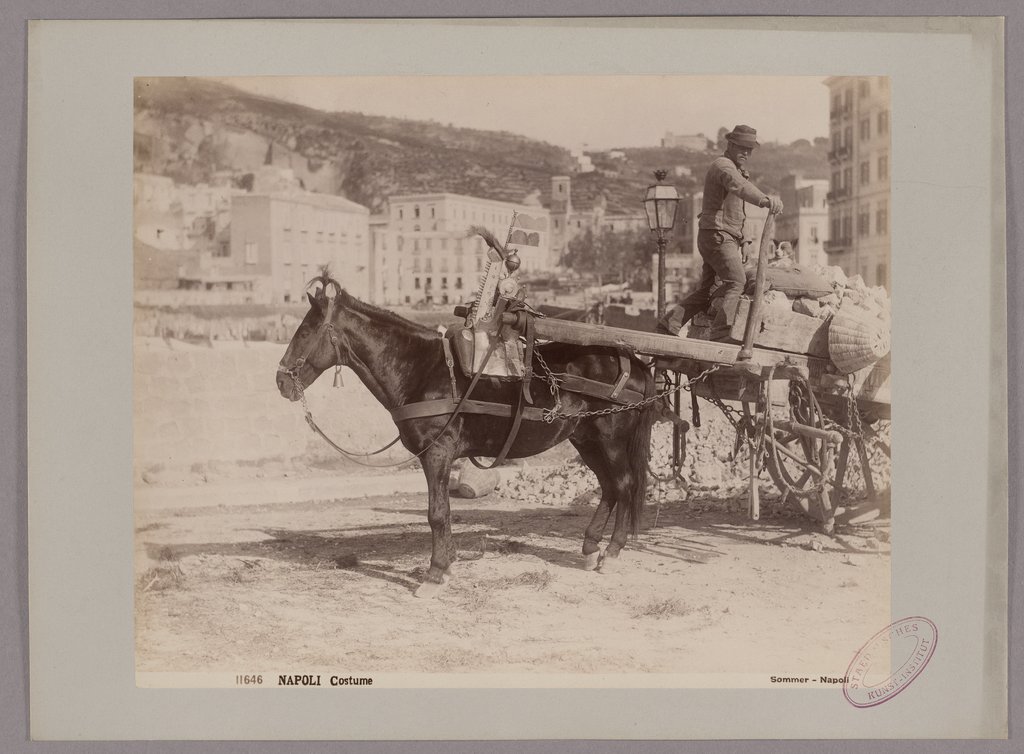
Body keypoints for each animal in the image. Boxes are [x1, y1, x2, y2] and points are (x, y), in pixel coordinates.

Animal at [276, 274, 651, 598]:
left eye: (306, 331)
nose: (280, 381)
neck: (422, 370)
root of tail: (631, 358)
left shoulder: (437, 453)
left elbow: (436, 513)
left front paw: (435, 573)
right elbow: (442, 511)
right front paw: (447, 566)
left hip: (611, 440)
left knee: (624, 485)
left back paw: (611, 551)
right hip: (586, 440)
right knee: (609, 487)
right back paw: (590, 547)